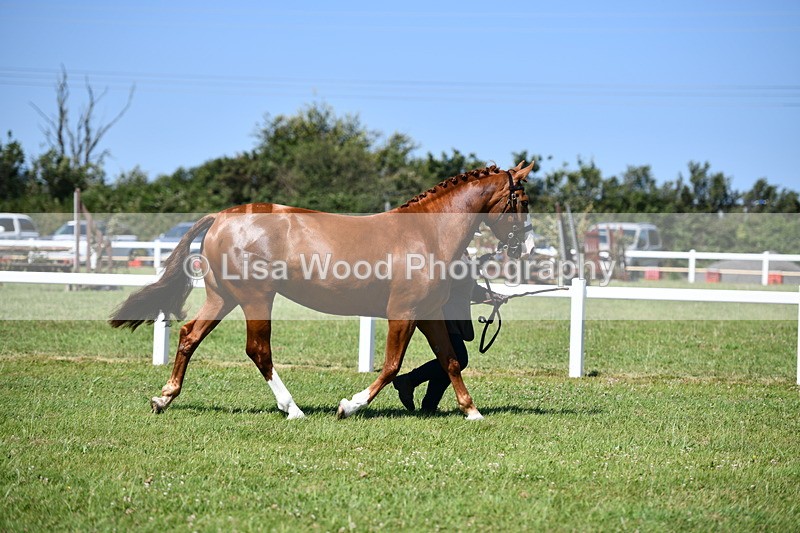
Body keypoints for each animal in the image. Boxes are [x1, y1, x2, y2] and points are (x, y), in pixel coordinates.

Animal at [109, 161, 534, 420]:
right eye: (523, 200)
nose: (527, 247)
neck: (426, 233)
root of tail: (221, 217)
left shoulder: (429, 314)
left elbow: (449, 360)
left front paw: (472, 411)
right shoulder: (404, 312)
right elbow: (392, 365)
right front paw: (350, 405)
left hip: (223, 297)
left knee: (189, 336)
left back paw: (164, 397)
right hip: (256, 298)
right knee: (258, 350)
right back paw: (292, 408)